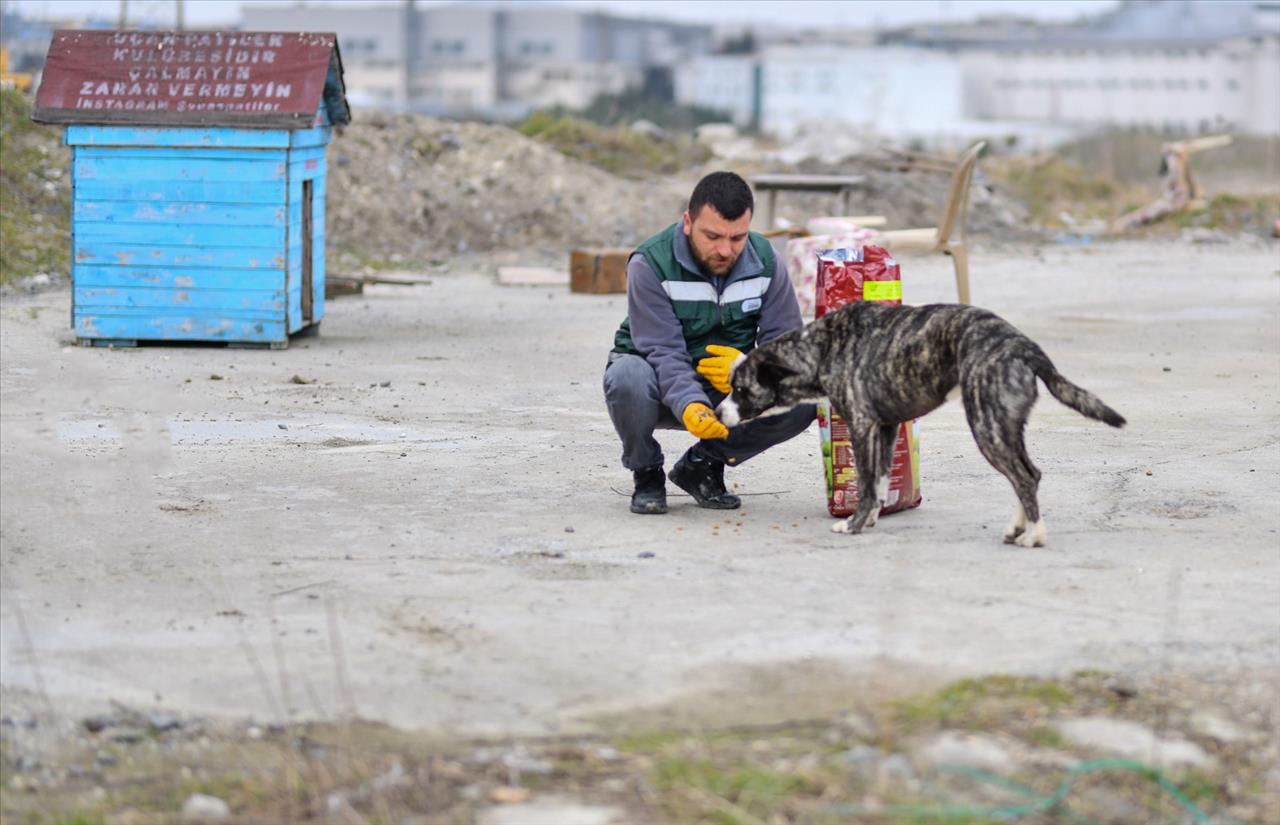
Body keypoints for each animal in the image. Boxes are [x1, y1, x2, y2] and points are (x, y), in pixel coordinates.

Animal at [716, 301, 1126, 547]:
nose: (718, 414)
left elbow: (867, 483)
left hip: (987, 427)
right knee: (1031, 474)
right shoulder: (885, 428)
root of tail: (1021, 344)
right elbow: (881, 481)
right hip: (1005, 427)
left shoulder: (862, 426)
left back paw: (1035, 536)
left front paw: (854, 524)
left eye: (740, 389)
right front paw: (871, 519)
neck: (819, 348)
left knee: (1023, 478)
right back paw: (1019, 528)